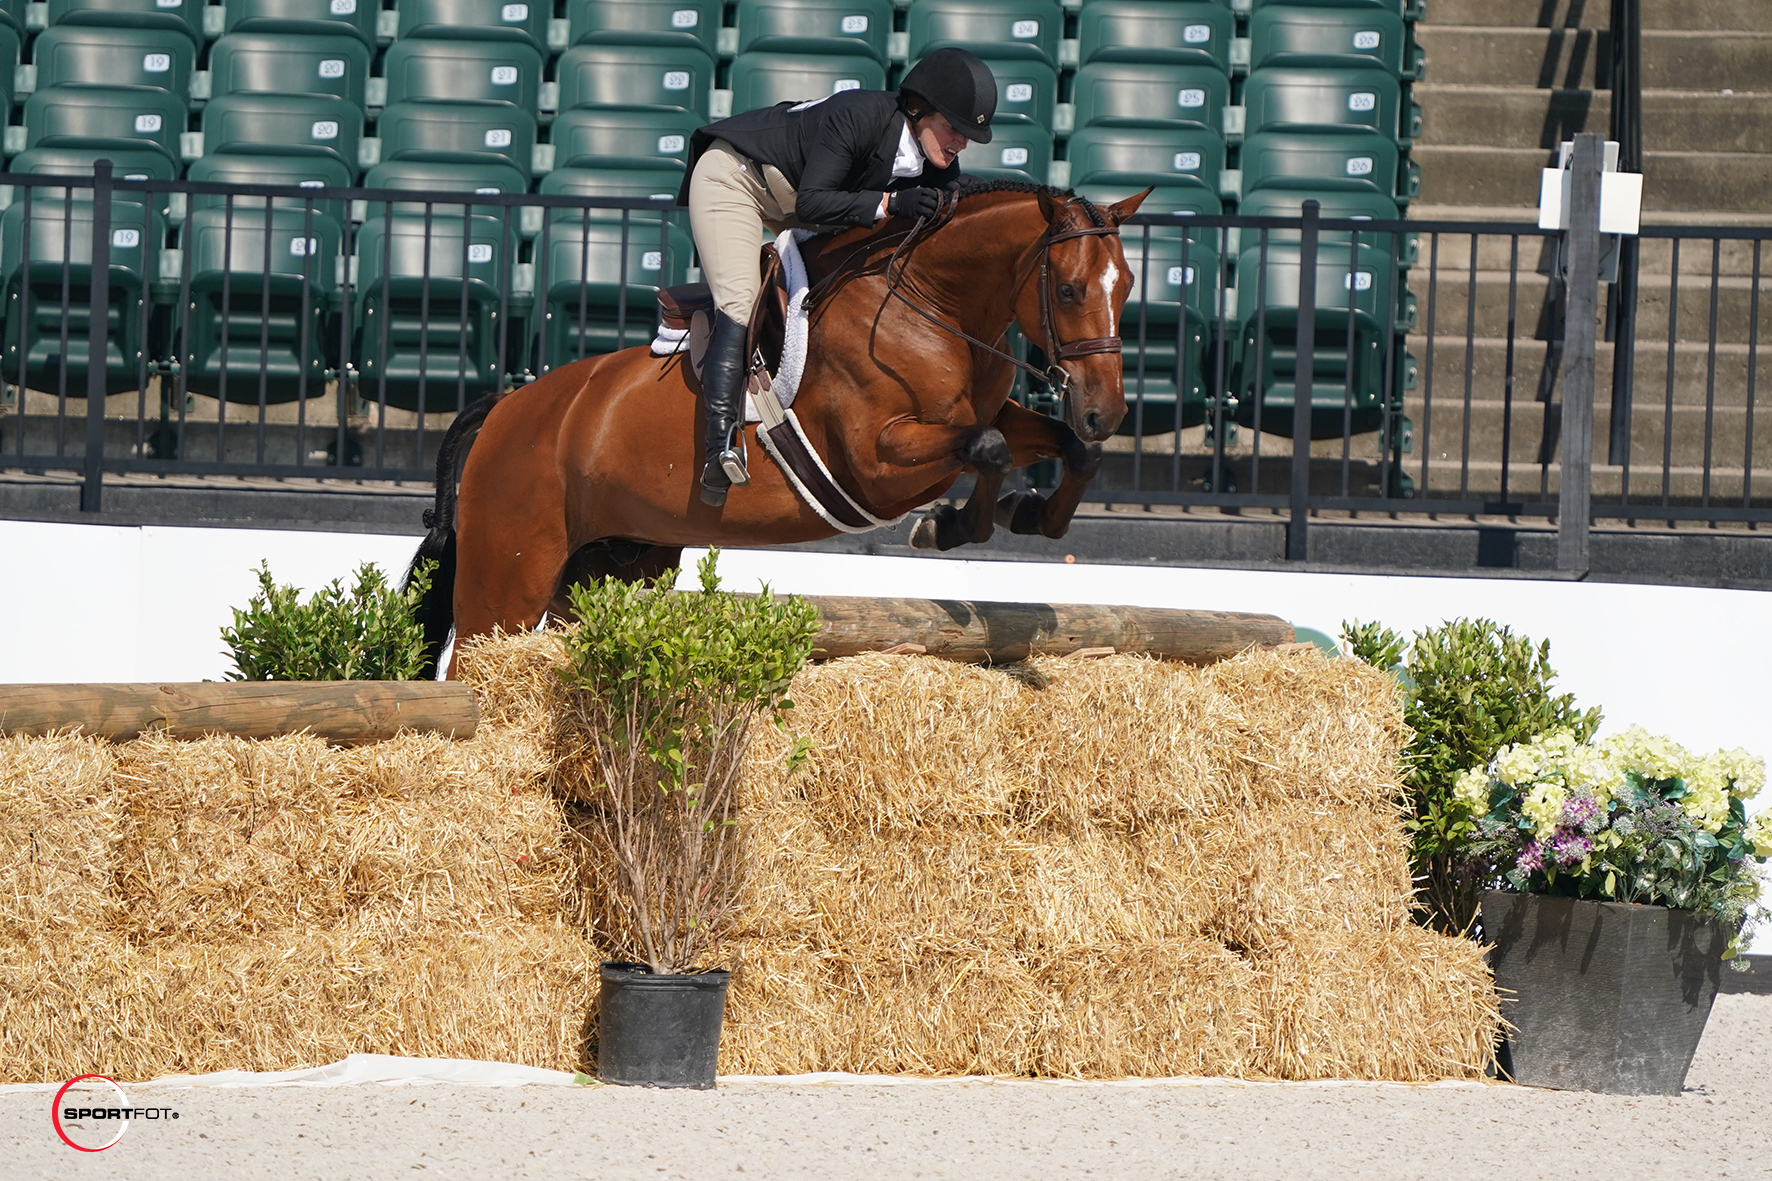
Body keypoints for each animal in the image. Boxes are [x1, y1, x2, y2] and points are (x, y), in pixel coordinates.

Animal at [404, 173, 1148, 670]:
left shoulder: (982, 418)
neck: (929, 303)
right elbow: (987, 449)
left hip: (607, 568)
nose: (1104, 411)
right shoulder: (876, 461)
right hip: (507, 578)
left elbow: (1065, 452)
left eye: (1129, 287)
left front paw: (1032, 512)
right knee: (474, 659)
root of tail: (505, 407)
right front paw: (946, 526)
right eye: (1070, 289)